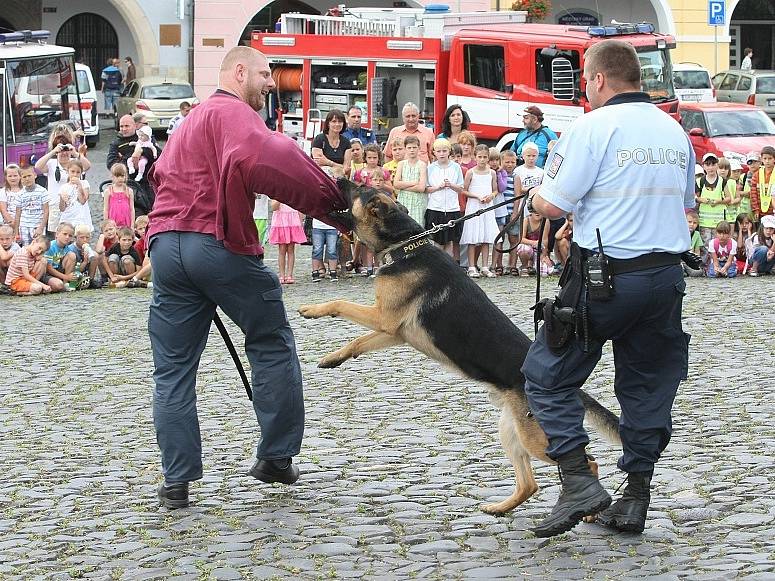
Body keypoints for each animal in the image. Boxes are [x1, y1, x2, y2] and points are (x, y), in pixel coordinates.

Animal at [300, 182, 620, 516]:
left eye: (358, 189)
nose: (339, 179)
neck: (405, 247)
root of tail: (572, 390)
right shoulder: (395, 331)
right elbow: (357, 342)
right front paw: (333, 358)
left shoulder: (383, 318)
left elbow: (340, 303)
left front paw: (311, 311)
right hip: (512, 430)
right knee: (530, 484)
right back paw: (500, 508)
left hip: (535, 439)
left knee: (589, 463)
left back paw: (589, 509)